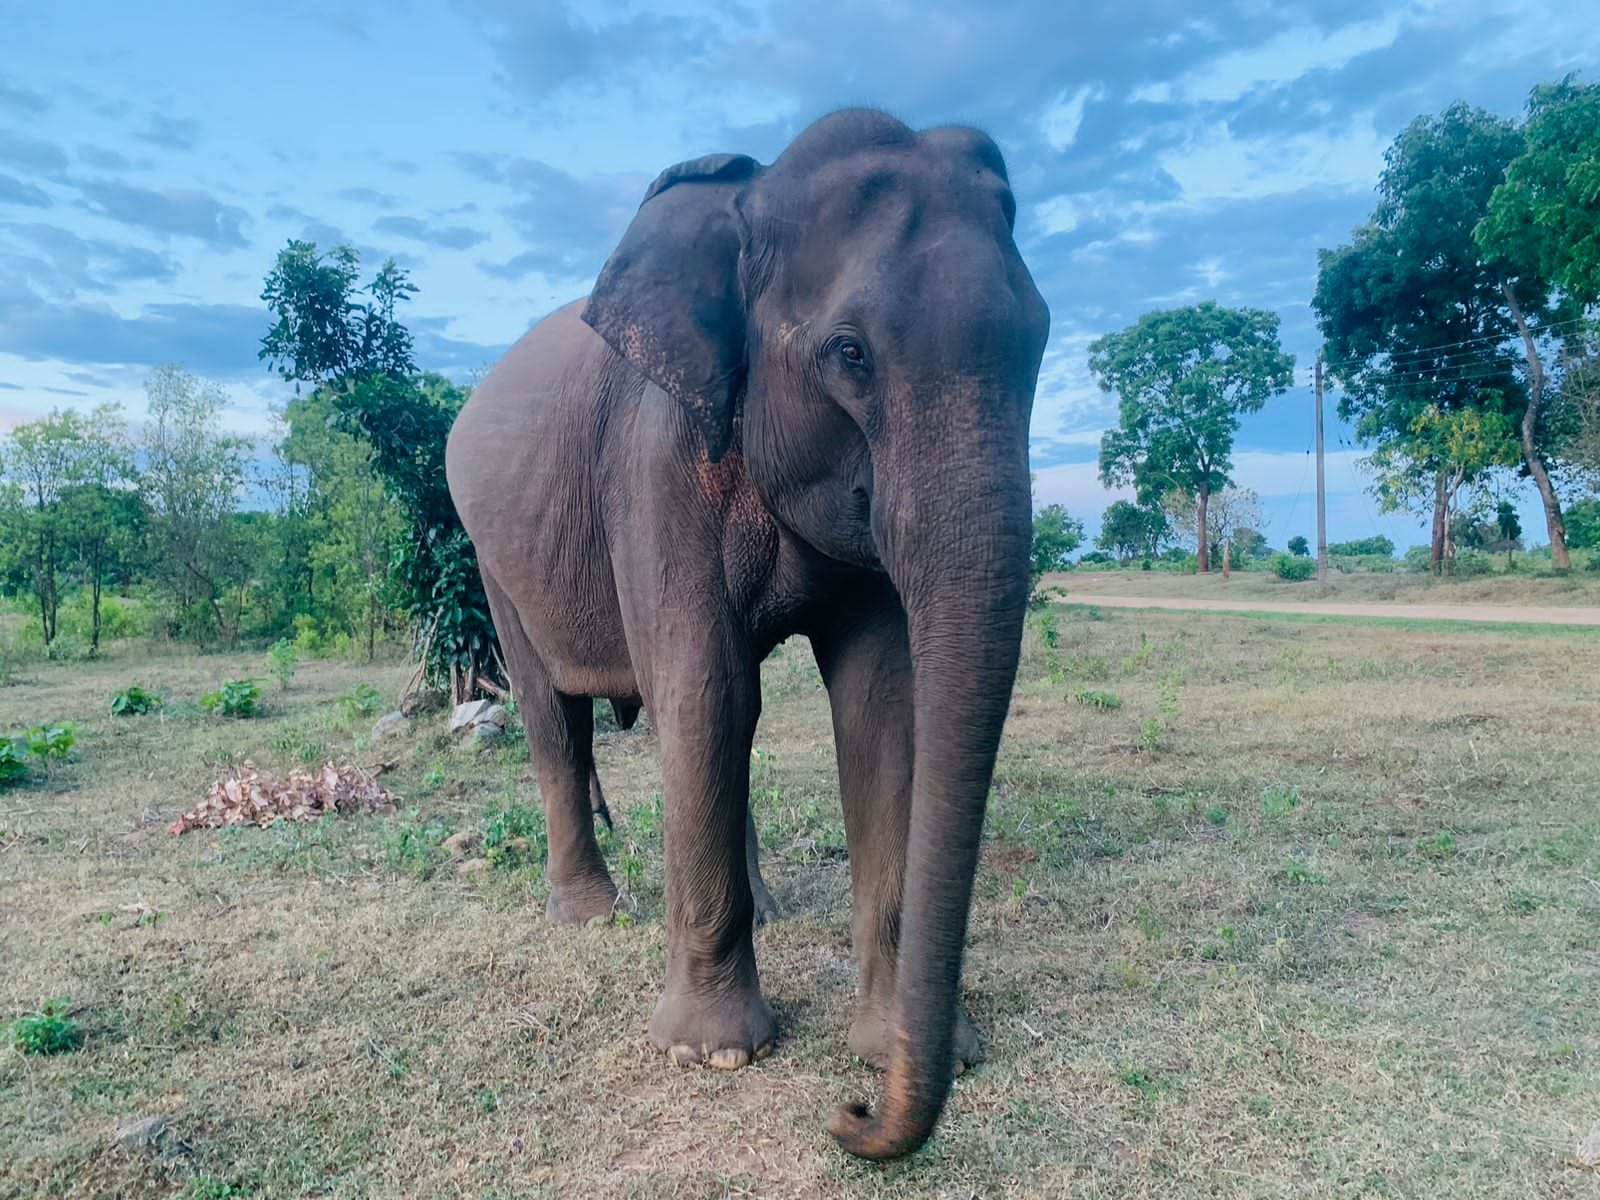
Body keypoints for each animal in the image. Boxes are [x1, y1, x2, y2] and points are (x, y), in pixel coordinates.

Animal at [444, 107, 1049, 1161]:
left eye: (1044, 334)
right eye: (850, 353)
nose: (852, 1115)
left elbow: (878, 707)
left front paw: (888, 1045)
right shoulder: (652, 459)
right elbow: (705, 689)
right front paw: (717, 1055)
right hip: (492, 550)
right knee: (556, 714)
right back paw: (589, 917)